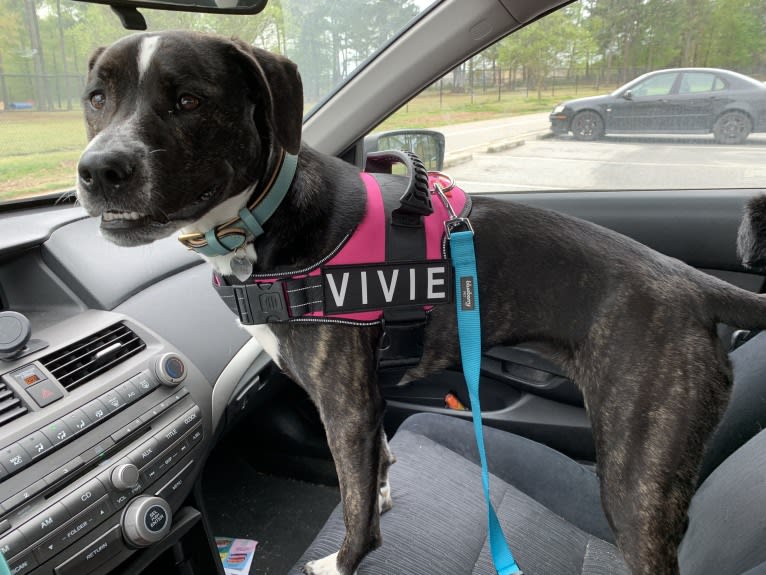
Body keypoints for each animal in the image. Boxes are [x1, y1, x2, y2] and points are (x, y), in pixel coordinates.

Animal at [78, 31, 766, 575]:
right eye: (96, 98)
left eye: (189, 100)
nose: (98, 170)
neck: (266, 219)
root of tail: (693, 284)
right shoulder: (371, 400)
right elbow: (376, 468)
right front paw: (382, 492)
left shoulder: (345, 406)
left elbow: (355, 510)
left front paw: (344, 562)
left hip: (636, 476)